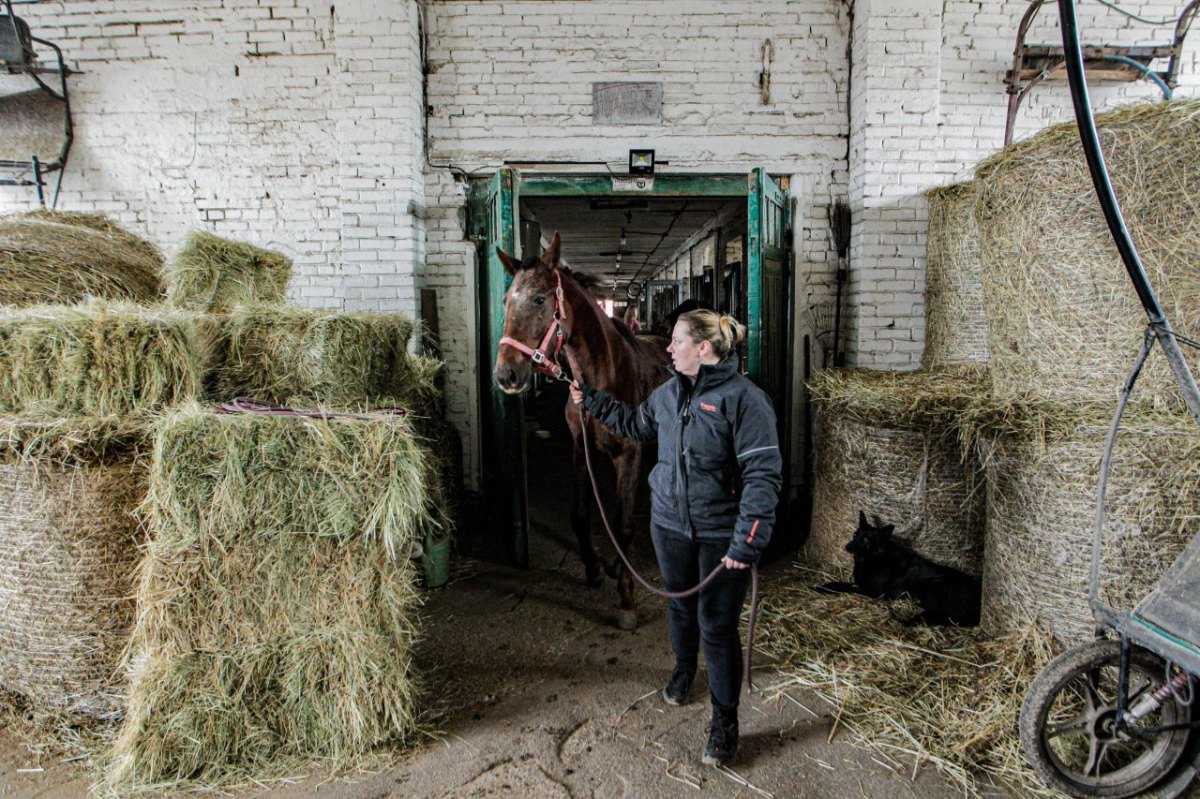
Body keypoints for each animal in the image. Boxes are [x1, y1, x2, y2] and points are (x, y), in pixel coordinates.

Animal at [492, 231, 672, 628]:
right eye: (505, 300)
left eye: (540, 299)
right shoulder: (579, 450)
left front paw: (626, 599)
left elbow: (622, 524)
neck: (603, 378)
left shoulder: (628, 455)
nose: (506, 374)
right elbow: (580, 516)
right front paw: (594, 568)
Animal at [820, 511, 979, 623]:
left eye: (865, 540)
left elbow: (845, 586)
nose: (847, 546)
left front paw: (825, 587)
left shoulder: (872, 591)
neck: (872, 559)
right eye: (855, 534)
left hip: (929, 587)